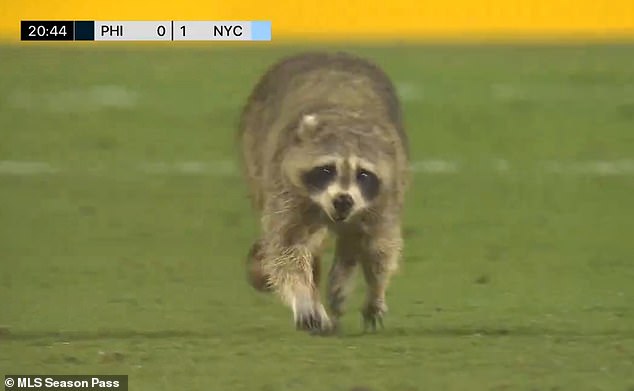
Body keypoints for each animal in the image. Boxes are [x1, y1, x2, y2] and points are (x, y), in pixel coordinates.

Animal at [237, 50, 410, 336]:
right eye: (327, 169)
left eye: (363, 174)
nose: (343, 200)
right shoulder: (285, 187)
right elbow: (288, 249)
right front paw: (304, 298)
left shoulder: (386, 194)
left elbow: (380, 246)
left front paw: (375, 293)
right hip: (254, 152)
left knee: (352, 242)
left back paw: (341, 278)